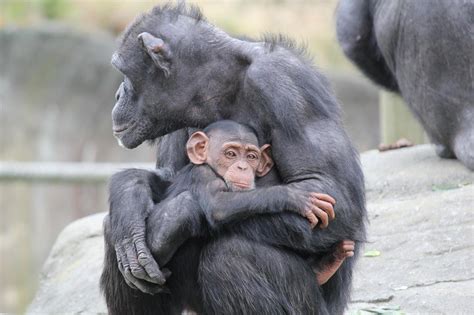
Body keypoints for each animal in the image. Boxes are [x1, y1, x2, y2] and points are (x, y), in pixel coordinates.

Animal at [101, 3, 366, 315]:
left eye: (124, 72)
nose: (117, 94)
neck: (219, 87)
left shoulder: (285, 83)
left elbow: (331, 196)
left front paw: (179, 214)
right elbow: (169, 175)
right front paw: (129, 196)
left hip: (312, 307)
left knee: (231, 254)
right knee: (112, 231)